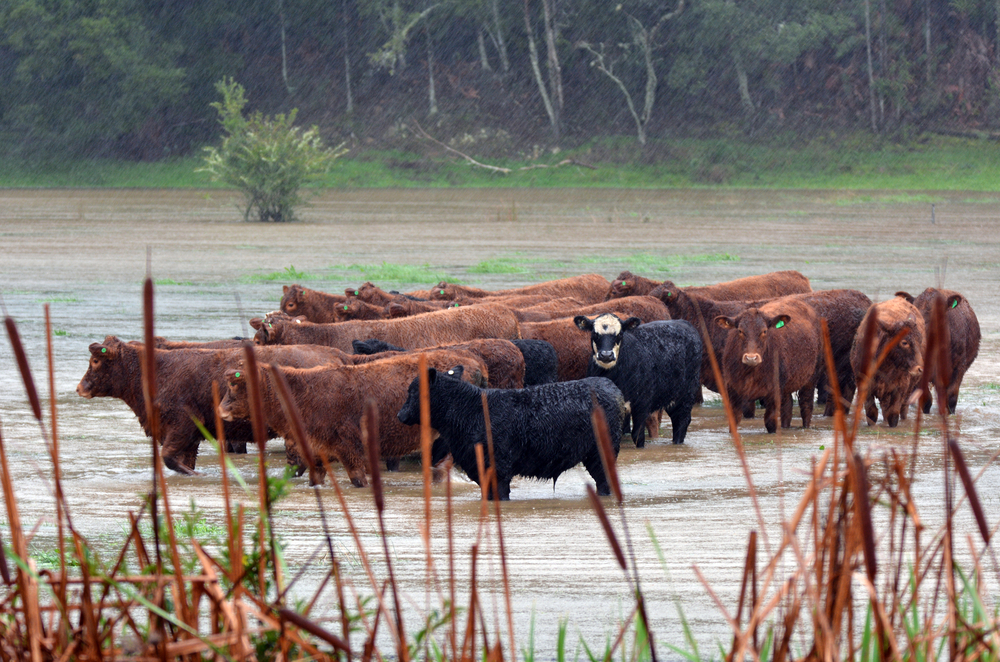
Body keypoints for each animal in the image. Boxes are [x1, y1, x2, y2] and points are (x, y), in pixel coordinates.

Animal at [75, 337, 350, 473]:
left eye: (96, 360)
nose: (80, 388)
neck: (160, 370)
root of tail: (337, 355)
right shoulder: (189, 437)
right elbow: (182, 461)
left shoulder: (182, 426)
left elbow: (169, 459)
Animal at [217, 351, 488, 486]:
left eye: (234, 384)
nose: (220, 410)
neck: (302, 393)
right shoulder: (316, 455)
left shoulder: (350, 451)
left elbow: (359, 480)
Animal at [397, 367, 628, 500]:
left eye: (413, 391)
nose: (400, 415)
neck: (471, 410)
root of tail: (609, 385)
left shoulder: (499, 470)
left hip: (601, 454)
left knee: (604, 482)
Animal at [575, 315, 702, 447]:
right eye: (595, 334)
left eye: (620, 334)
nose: (606, 355)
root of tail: (682, 322)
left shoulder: (641, 404)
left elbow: (637, 435)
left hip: (686, 394)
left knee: (681, 421)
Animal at [714, 299, 822, 432]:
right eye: (740, 331)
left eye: (764, 331)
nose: (751, 358)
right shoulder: (732, 389)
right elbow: (734, 420)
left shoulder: (774, 392)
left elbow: (770, 422)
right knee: (787, 407)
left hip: (811, 377)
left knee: (806, 405)